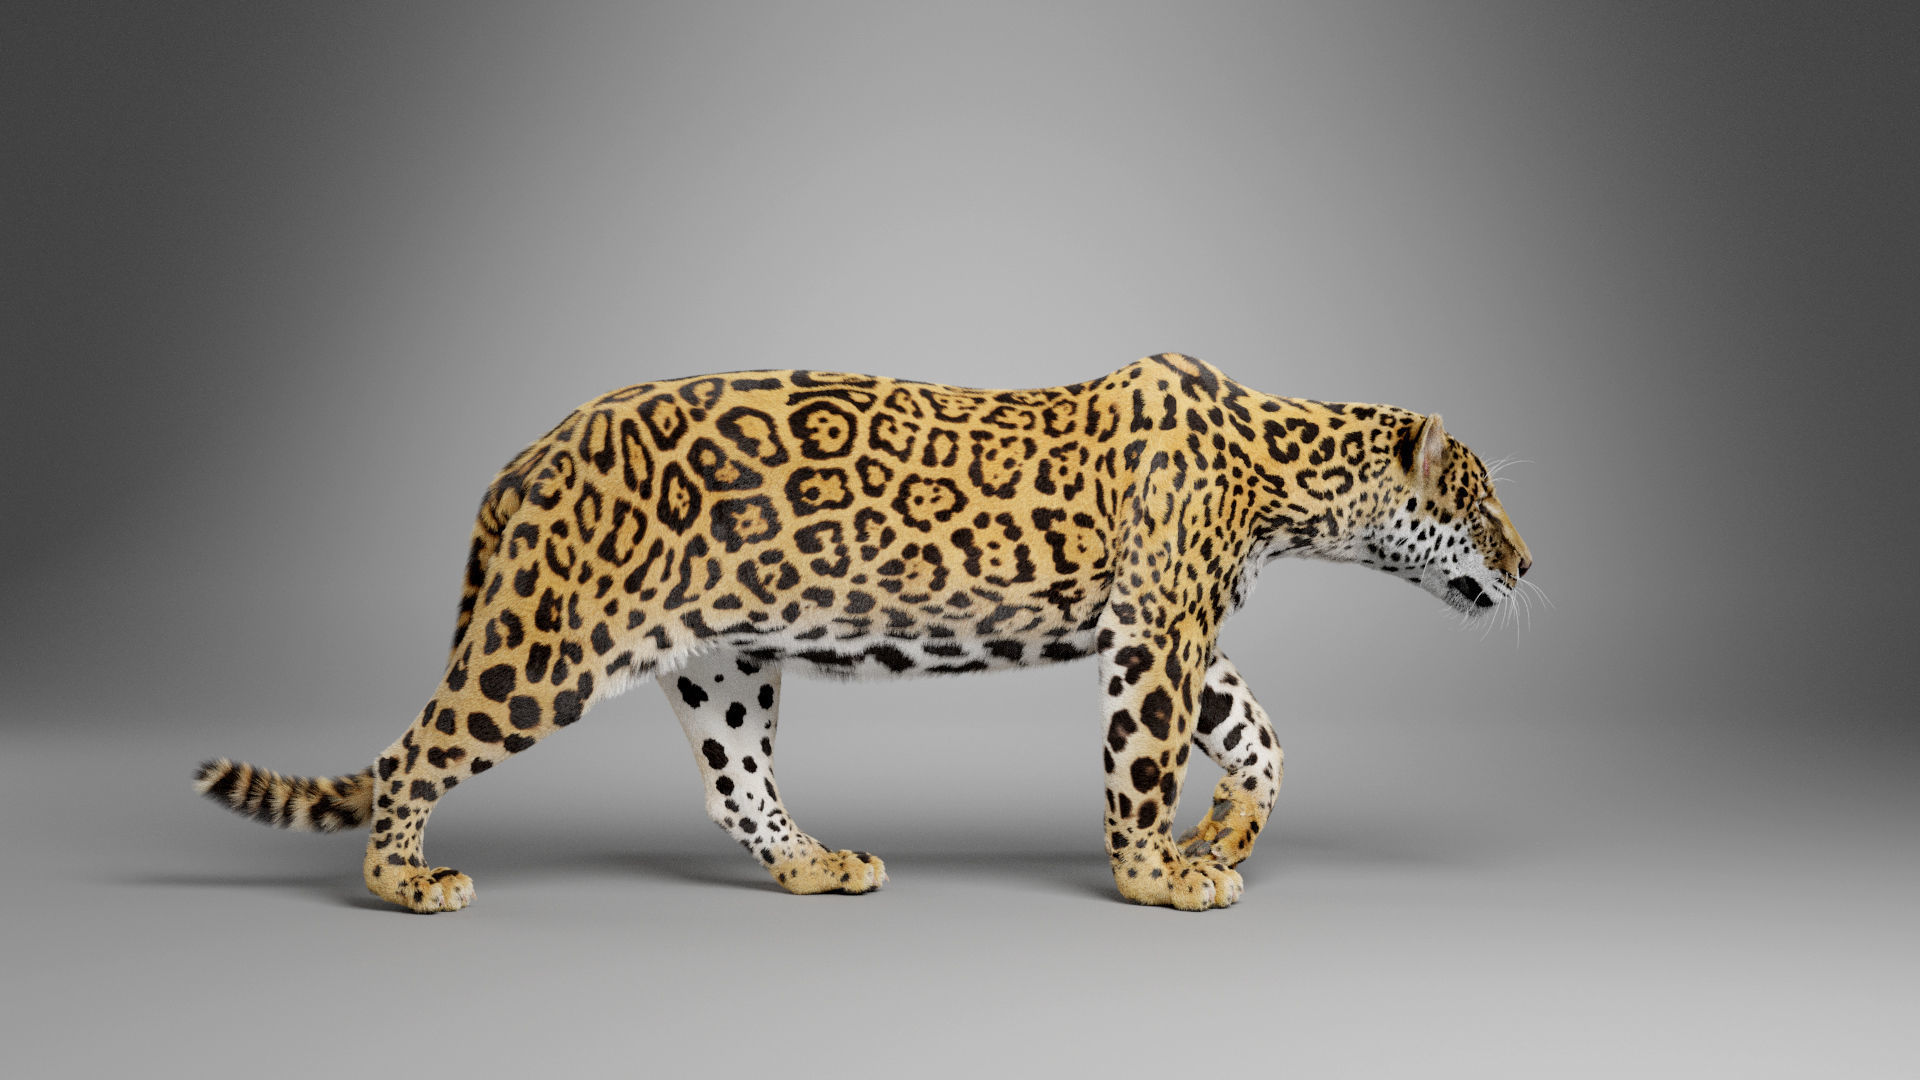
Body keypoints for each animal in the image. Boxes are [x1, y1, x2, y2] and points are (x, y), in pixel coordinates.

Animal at [195, 353, 1531, 913]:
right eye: (1479, 503)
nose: (1527, 565)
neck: (1282, 473)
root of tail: (528, 457)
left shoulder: (1178, 625)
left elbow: (1260, 738)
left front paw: (1225, 834)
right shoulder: (1156, 631)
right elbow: (1142, 765)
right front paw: (1161, 877)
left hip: (725, 659)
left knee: (737, 783)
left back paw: (816, 865)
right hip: (544, 648)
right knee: (412, 752)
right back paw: (406, 883)